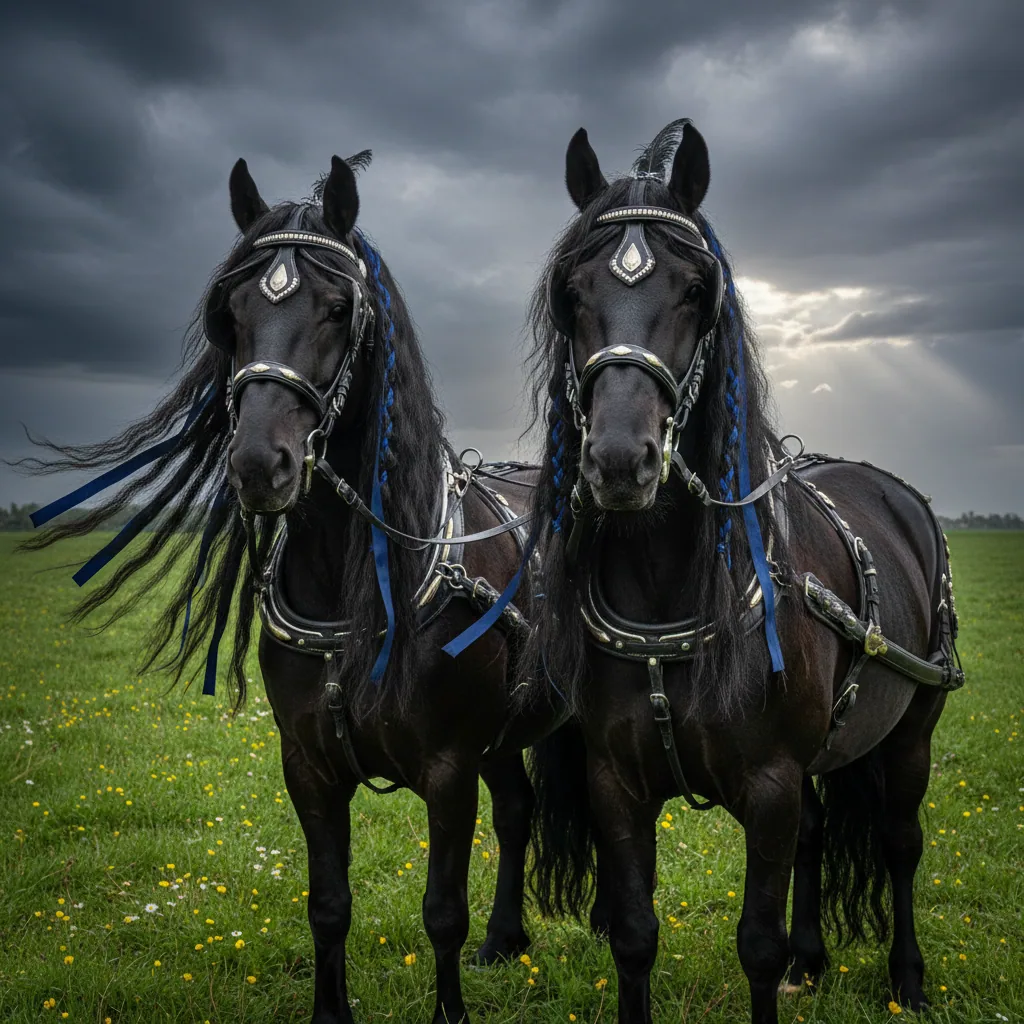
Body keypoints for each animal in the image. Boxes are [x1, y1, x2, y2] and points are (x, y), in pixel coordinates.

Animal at [20, 151, 565, 1024]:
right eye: (232, 310)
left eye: (340, 308)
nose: (256, 463)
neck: (362, 591)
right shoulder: (307, 765)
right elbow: (328, 905)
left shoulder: (448, 768)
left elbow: (440, 912)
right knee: (517, 812)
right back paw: (503, 942)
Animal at [522, 119, 964, 1024]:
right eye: (572, 291)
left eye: (697, 289)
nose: (618, 460)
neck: (670, 592)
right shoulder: (617, 783)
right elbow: (634, 937)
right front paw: (793, 958)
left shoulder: (769, 784)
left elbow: (756, 947)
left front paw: (788, 961)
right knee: (817, 838)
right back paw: (813, 960)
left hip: (913, 730)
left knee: (901, 844)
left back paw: (906, 978)